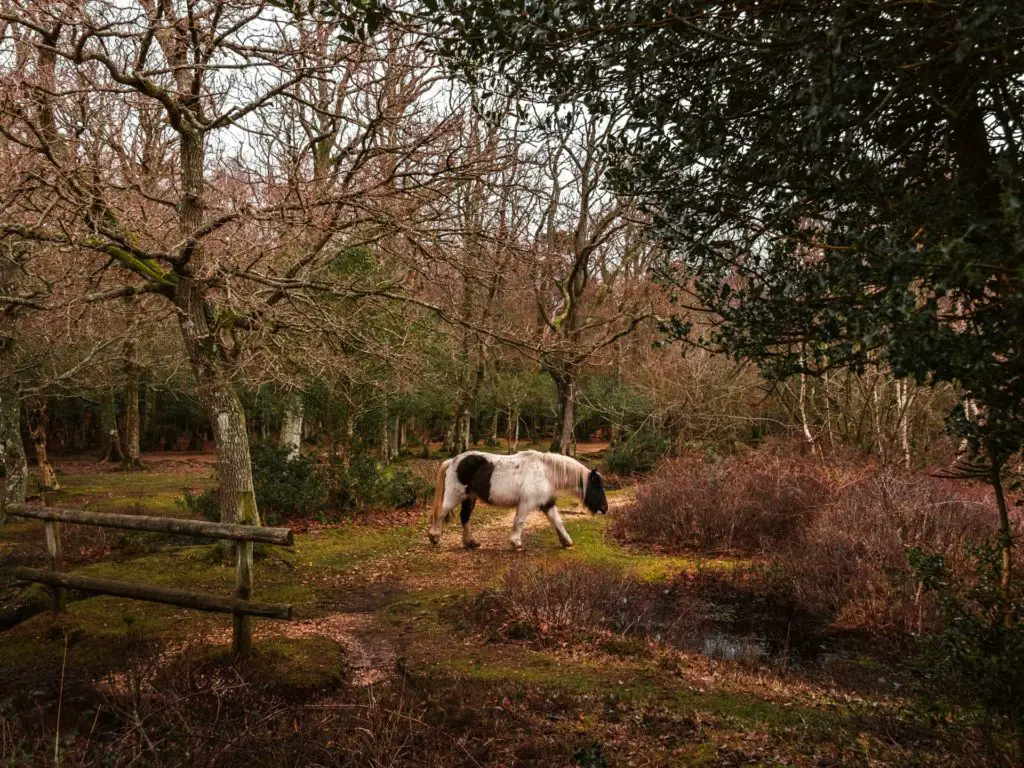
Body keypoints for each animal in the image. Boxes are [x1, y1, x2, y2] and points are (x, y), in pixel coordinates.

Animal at [425, 450, 606, 552]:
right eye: (597, 486)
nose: (604, 508)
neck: (546, 473)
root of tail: (452, 461)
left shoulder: (547, 503)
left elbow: (558, 521)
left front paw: (566, 541)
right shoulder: (526, 503)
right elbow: (519, 522)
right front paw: (516, 543)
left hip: (470, 498)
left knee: (465, 518)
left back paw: (470, 543)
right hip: (455, 496)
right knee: (441, 514)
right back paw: (434, 537)